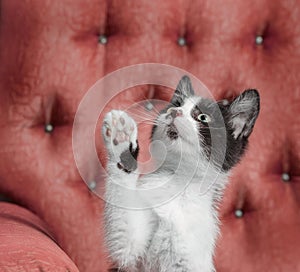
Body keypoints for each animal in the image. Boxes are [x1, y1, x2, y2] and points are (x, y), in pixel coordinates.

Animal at [102, 76, 258, 272]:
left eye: (202, 117)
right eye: (176, 104)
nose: (174, 112)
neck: (179, 182)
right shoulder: (129, 257)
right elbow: (126, 242)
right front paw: (120, 138)